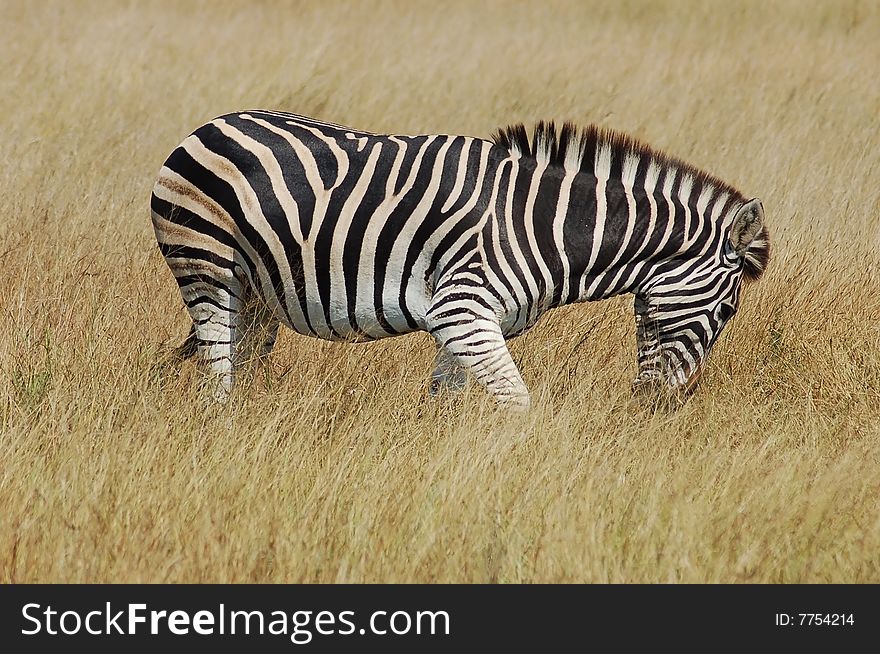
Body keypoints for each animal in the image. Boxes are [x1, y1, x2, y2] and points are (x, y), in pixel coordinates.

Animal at [151, 112, 768, 410]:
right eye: (728, 311)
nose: (662, 406)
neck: (548, 228)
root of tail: (211, 123)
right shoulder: (463, 308)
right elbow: (518, 404)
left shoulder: (463, 323)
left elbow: (445, 405)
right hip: (205, 263)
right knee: (217, 375)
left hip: (256, 289)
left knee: (243, 363)